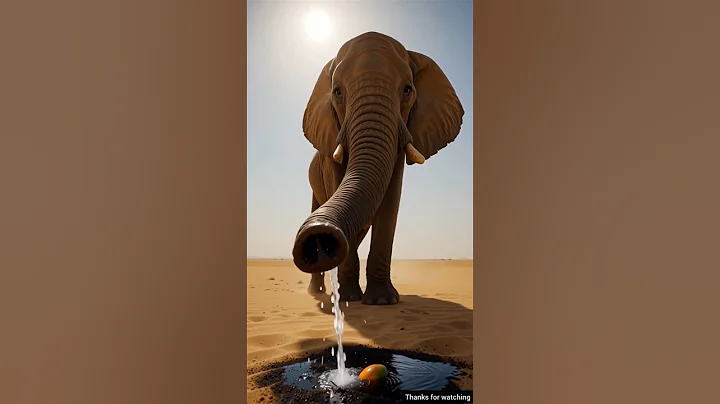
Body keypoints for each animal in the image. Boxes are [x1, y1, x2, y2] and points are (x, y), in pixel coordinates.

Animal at [291, 31, 464, 305]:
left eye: (407, 90)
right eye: (337, 92)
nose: (320, 234)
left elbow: (390, 202)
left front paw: (382, 301)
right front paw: (350, 298)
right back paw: (317, 291)